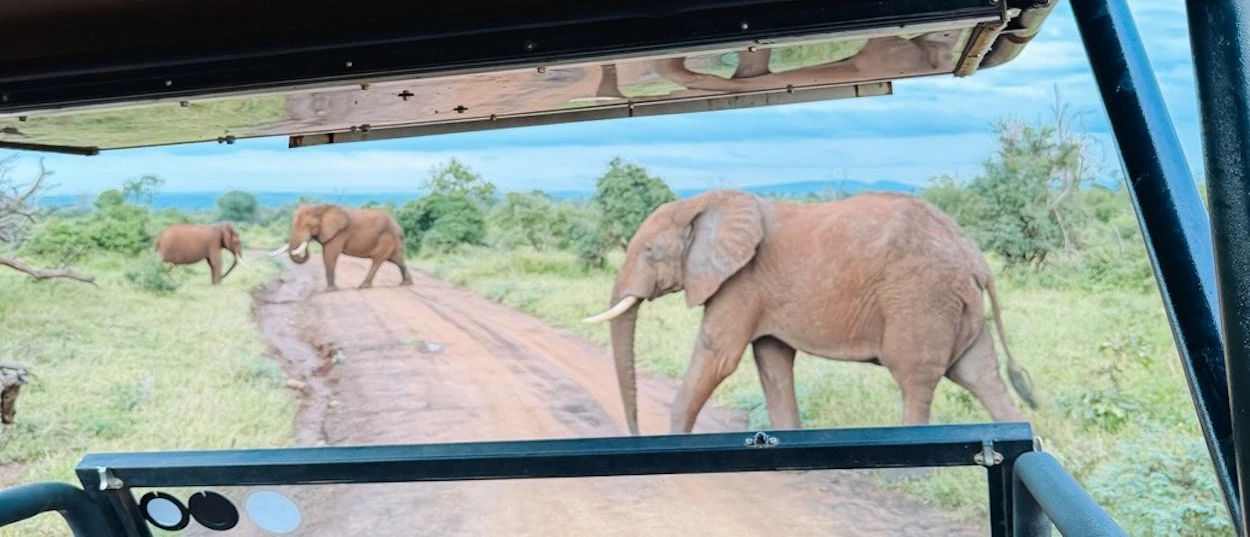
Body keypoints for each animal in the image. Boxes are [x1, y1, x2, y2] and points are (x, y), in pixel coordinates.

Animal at [270, 203, 413, 290]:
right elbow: (326, 256)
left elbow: (330, 255)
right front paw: (331, 288)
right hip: (393, 241)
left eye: (307, 225)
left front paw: (331, 289)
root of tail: (399, 227)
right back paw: (406, 283)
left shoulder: (339, 234)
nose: (308, 241)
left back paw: (363, 286)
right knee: (397, 259)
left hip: (386, 239)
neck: (321, 207)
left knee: (377, 260)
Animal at [582, 190, 1037, 435]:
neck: (703, 201)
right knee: (981, 375)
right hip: (957, 307)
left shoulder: (741, 282)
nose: (635, 433)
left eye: (649, 251)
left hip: (920, 301)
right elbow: (772, 362)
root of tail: (975, 257)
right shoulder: (757, 293)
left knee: (915, 381)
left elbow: (718, 355)